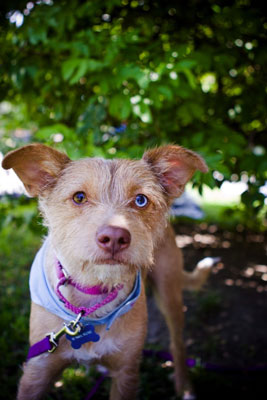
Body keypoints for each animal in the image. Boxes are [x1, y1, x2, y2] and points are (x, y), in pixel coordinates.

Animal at [2, 142, 213, 398]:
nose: (114, 237)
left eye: (140, 200)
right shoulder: (37, 371)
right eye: (79, 197)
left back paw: (184, 386)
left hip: (169, 292)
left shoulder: (127, 371)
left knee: (178, 343)